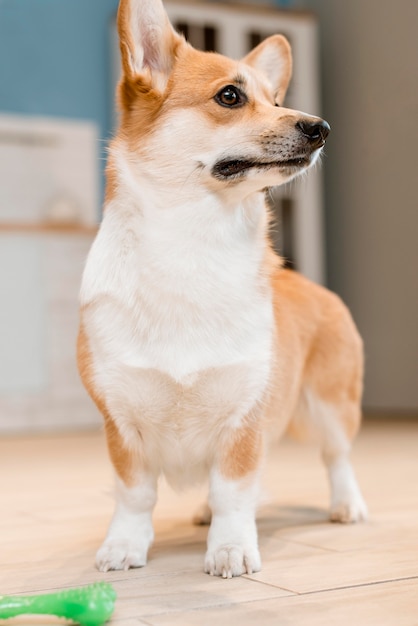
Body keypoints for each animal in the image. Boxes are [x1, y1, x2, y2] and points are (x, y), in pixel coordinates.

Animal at [77, 0, 366, 576]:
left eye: (275, 100)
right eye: (230, 96)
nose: (321, 128)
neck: (193, 246)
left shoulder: (244, 419)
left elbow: (234, 489)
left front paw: (231, 548)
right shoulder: (121, 423)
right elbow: (134, 495)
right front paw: (124, 546)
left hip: (329, 406)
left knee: (337, 457)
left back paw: (348, 506)